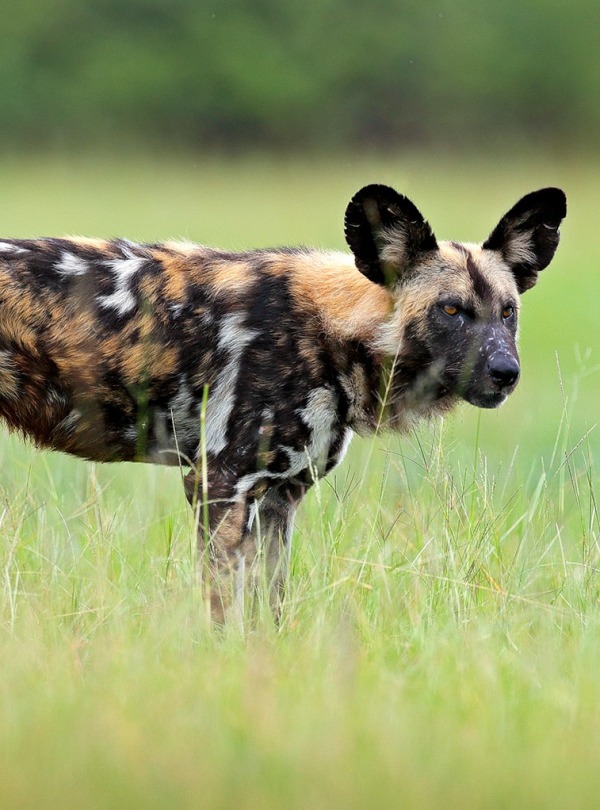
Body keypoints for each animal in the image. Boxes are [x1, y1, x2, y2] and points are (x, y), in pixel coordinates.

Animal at [0, 186, 568, 620]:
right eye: (451, 310)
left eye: (508, 311)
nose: (506, 373)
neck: (330, 331)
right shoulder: (218, 483)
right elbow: (224, 612)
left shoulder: (278, 498)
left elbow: (268, 612)